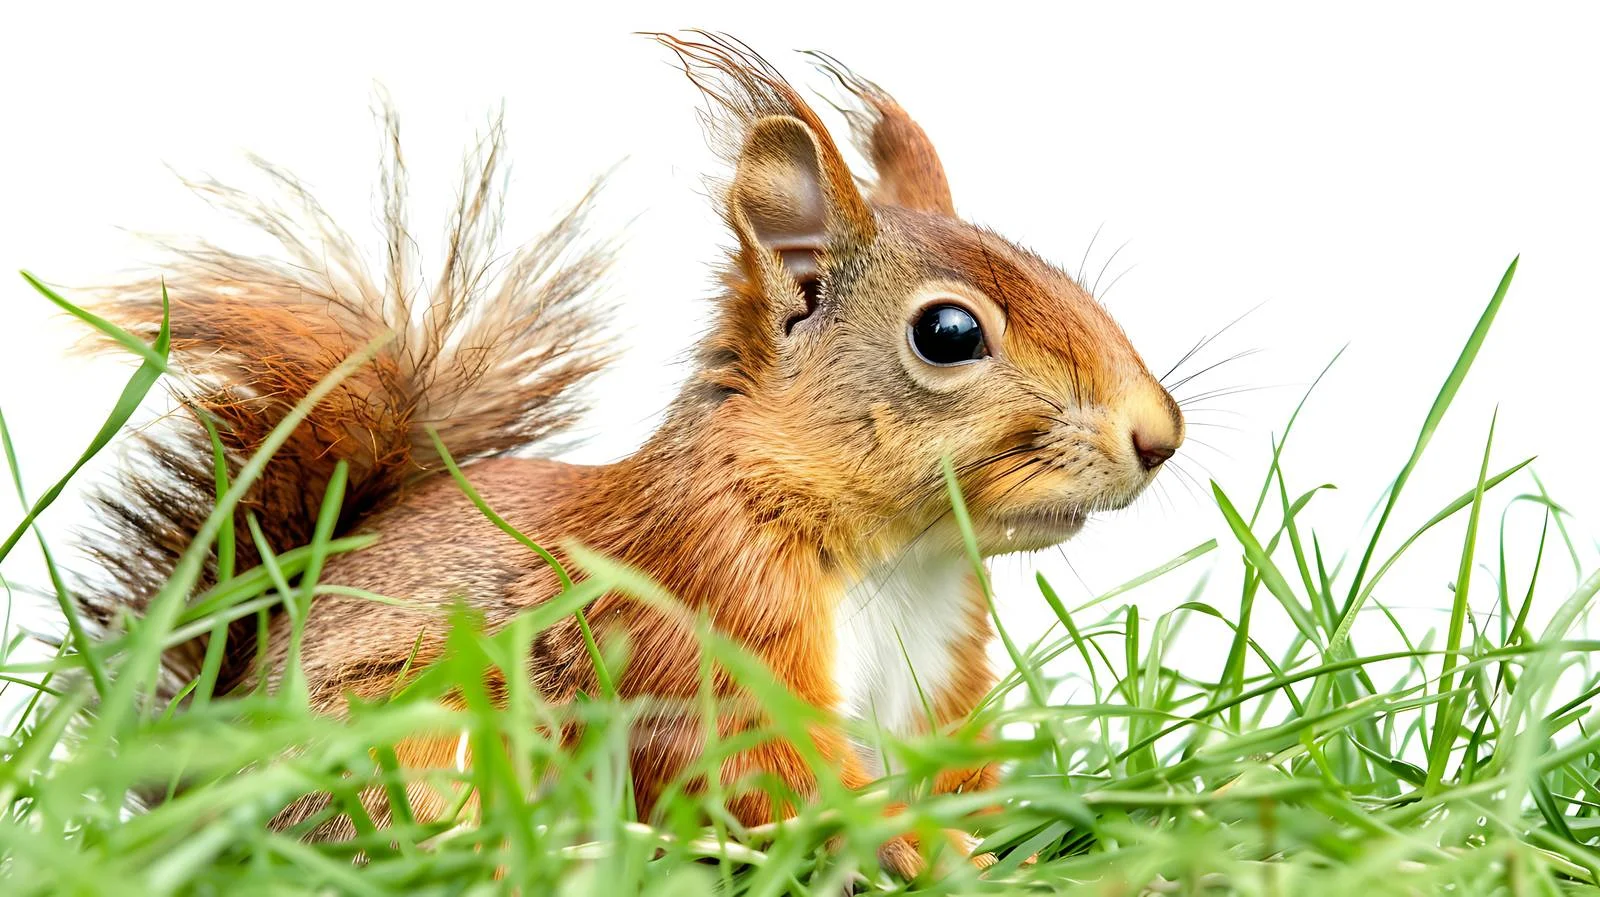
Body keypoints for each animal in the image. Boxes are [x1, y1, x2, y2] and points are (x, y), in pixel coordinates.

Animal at [69, 33, 1183, 877]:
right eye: (948, 334)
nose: (1158, 439)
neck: (901, 559)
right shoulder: (698, 608)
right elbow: (753, 763)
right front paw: (923, 849)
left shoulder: (935, 681)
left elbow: (952, 771)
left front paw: (997, 842)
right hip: (412, 728)